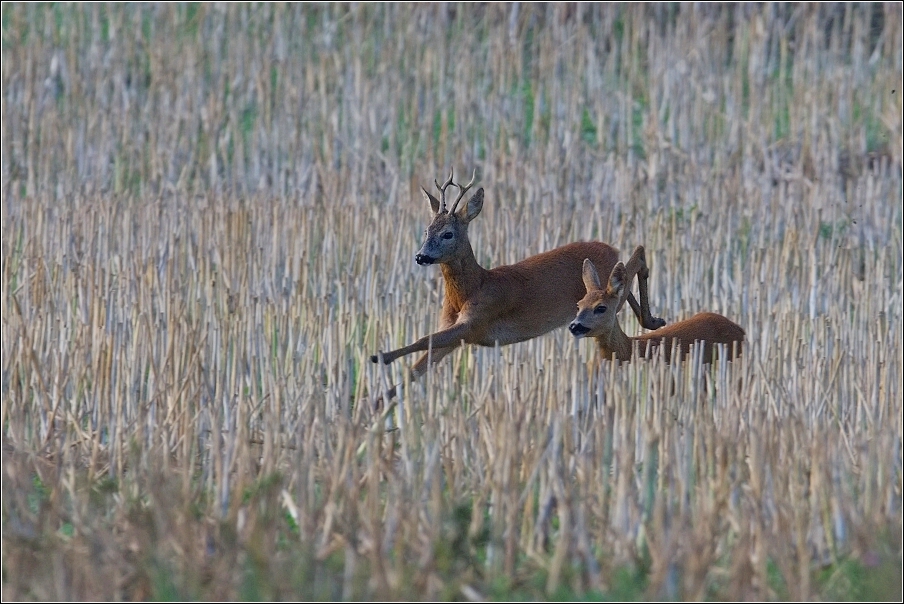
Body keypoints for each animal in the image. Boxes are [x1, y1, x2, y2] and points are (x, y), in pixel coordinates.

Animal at [370, 168, 668, 398]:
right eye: (426, 230)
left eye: (447, 233)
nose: (421, 256)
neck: (472, 288)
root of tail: (611, 248)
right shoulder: (454, 329)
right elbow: (417, 368)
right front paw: (378, 403)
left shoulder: (476, 323)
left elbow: (424, 338)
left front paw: (380, 357)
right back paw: (653, 320)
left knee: (637, 258)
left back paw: (653, 316)